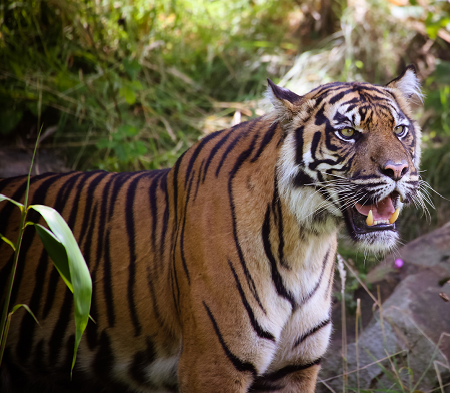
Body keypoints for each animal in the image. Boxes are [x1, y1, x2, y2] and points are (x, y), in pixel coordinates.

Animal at [0, 66, 422, 390]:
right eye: (348, 133)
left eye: (400, 131)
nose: (399, 170)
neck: (306, 241)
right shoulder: (213, 364)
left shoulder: (295, 368)